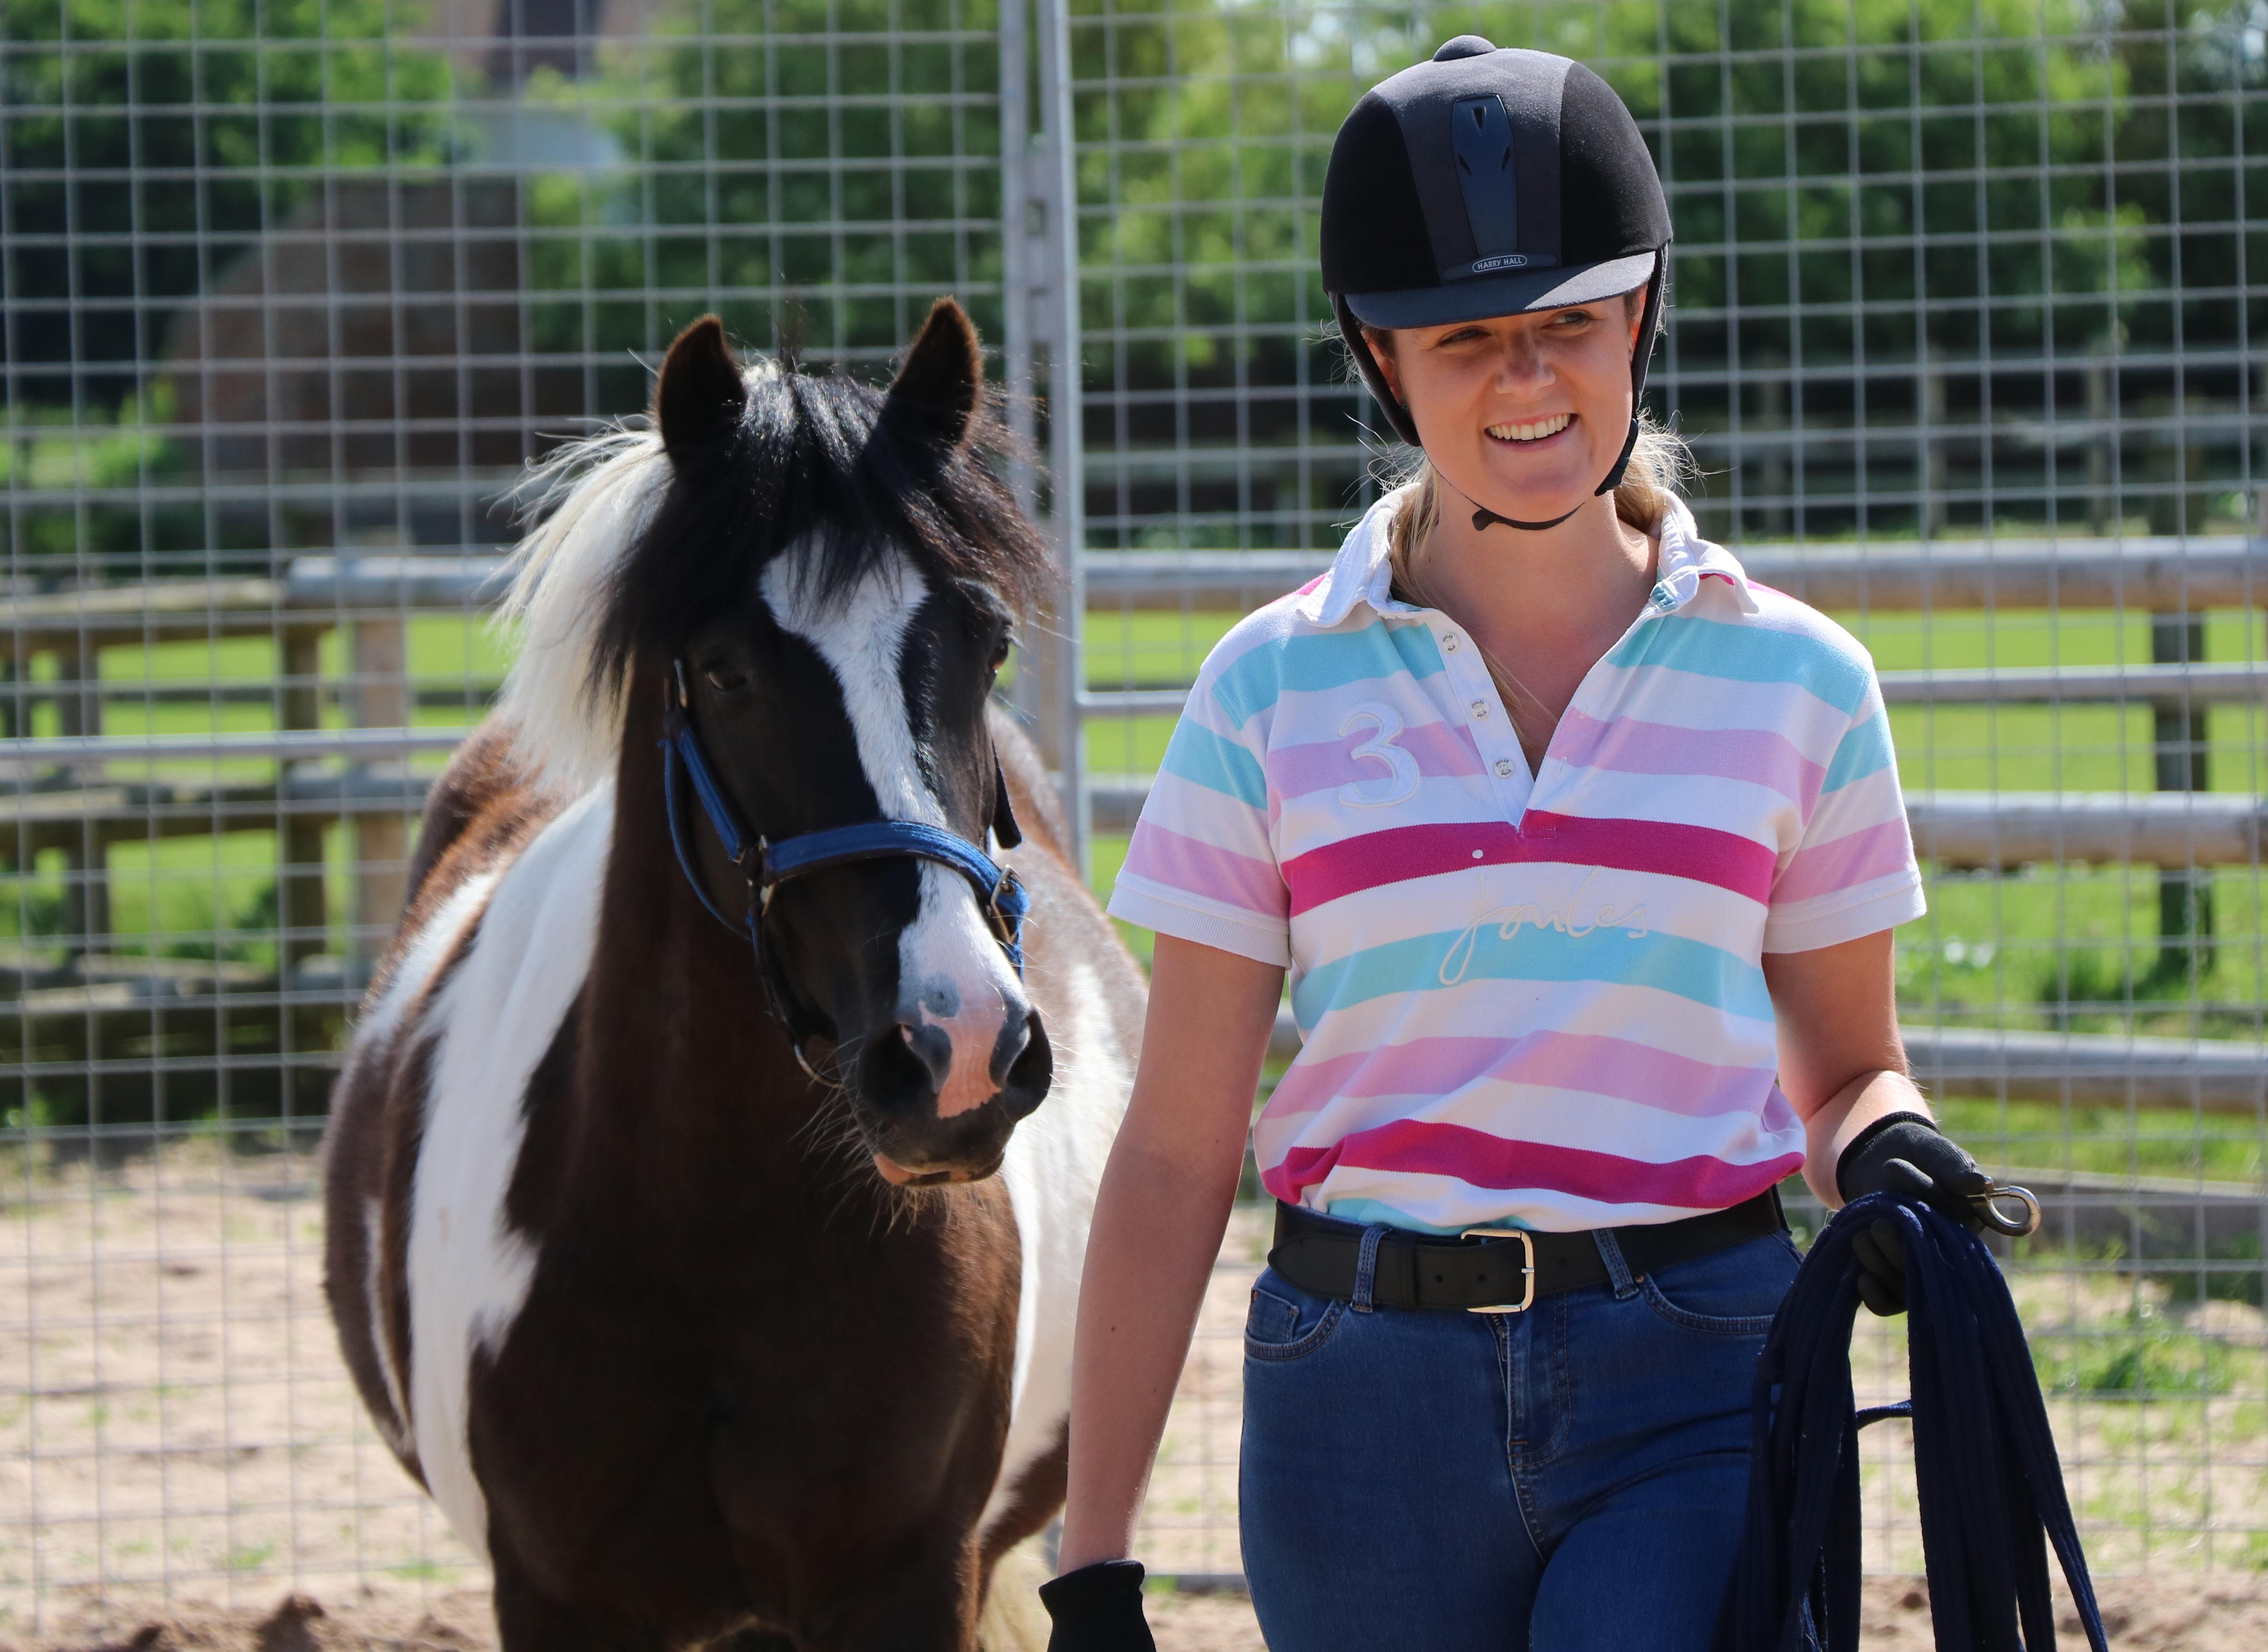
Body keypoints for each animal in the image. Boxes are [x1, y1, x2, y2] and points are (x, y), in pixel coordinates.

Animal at [321, 298, 1146, 1650]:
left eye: (985, 642)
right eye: (722, 668)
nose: (959, 1049)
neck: (705, 1224)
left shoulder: (907, 1579)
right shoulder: (555, 1598)